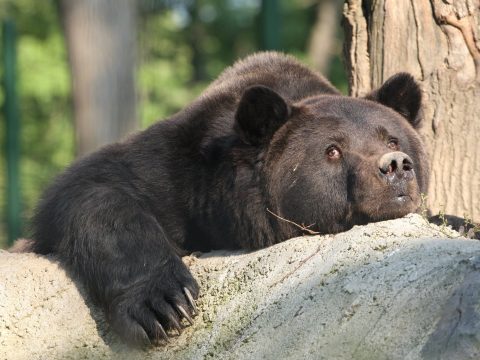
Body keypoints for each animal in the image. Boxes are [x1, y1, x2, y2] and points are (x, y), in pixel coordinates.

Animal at [30, 51, 428, 346]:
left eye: (391, 138)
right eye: (333, 150)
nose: (394, 165)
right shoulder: (175, 171)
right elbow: (97, 187)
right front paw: (166, 304)